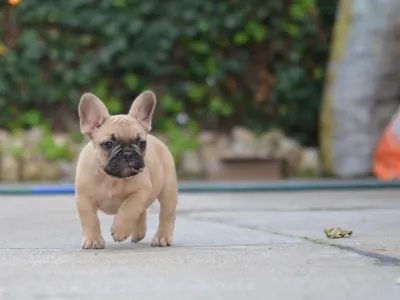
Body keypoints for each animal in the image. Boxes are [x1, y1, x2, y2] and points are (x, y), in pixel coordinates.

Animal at [74, 91, 177, 248]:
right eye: (108, 144)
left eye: (141, 143)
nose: (128, 153)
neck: (111, 179)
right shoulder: (84, 198)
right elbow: (90, 220)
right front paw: (93, 240)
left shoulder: (142, 190)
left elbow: (130, 208)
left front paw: (120, 230)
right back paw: (138, 233)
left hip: (168, 191)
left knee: (166, 214)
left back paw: (162, 237)